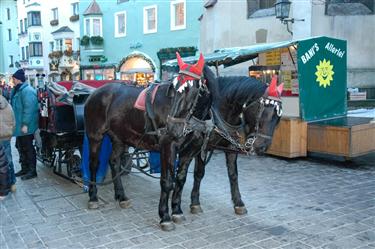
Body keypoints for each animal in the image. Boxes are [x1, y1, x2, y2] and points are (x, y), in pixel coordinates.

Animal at [84, 53, 214, 231]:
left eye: (192, 89)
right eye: (175, 88)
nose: (172, 126)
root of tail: (94, 93)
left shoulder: (190, 151)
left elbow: (180, 180)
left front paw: (177, 211)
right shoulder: (168, 146)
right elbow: (167, 181)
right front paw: (165, 216)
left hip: (119, 138)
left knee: (114, 162)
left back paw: (121, 196)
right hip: (95, 136)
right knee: (93, 164)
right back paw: (93, 197)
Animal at [169, 69, 284, 223]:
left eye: (278, 117)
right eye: (263, 112)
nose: (262, 147)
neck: (221, 111)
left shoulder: (231, 148)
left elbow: (233, 174)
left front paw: (238, 203)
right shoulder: (203, 147)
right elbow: (199, 173)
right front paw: (195, 203)